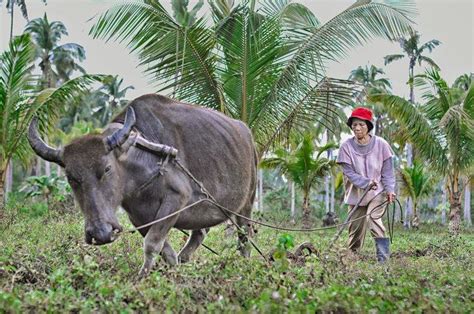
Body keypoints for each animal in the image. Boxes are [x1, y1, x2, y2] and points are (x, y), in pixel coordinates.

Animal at [27, 94, 258, 278]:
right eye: (71, 177)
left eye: (107, 169)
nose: (101, 233)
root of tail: (247, 133)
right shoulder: (137, 216)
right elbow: (165, 250)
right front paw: (173, 272)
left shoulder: (177, 198)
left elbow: (152, 244)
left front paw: (142, 277)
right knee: (199, 233)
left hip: (247, 203)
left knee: (244, 236)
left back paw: (246, 263)